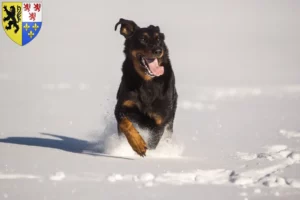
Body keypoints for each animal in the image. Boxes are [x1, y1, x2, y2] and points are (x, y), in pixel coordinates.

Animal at [113, 18, 177, 156]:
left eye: (159, 39)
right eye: (143, 39)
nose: (158, 50)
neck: (147, 82)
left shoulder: (160, 121)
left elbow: (153, 142)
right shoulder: (121, 107)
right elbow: (125, 124)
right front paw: (138, 145)